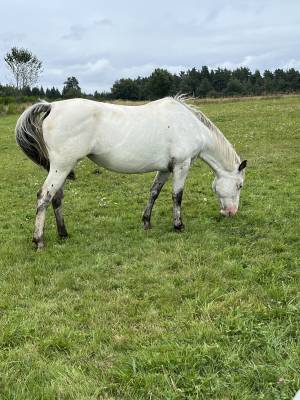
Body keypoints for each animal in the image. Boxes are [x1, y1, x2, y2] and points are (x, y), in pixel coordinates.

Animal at [15, 95, 247, 248]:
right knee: (44, 197)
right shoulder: (182, 165)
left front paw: (146, 222)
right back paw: (39, 240)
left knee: (56, 198)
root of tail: (52, 106)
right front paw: (178, 225)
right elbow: (177, 196)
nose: (231, 212)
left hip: (63, 168)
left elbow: (154, 192)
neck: (190, 125)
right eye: (239, 185)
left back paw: (63, 234)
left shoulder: (165, 169)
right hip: (61, 167)